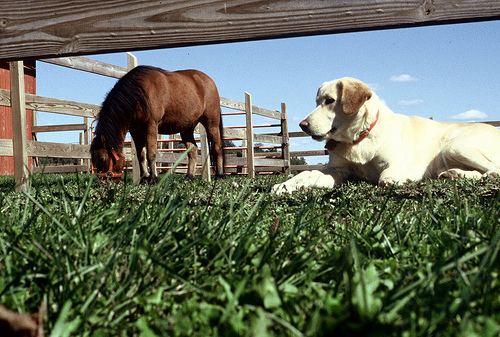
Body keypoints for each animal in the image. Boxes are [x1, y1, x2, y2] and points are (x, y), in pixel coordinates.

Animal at [90, 64, 225, 182]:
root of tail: (209, 80)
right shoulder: (135, 130)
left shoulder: (151, 126)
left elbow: (151, 153)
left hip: (211, 123)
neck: (139, 93)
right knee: (193, 150)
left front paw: (153, 178)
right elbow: (141, 155)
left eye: (102, 158)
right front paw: (144, 178)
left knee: (217, 147)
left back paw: (219, 175)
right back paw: (189, 177)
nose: (102, 181)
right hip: (186, 129)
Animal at [274, 77, 500, 193]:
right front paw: (286, 185)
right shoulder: (337, 171)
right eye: (316, 102)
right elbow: (307, 174)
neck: (359, 138)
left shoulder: (399, 164)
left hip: (454, 147)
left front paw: (390, 180)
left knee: (495, 169)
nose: (302, 125)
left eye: (329, 100)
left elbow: (386, 175)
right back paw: (455, 174)